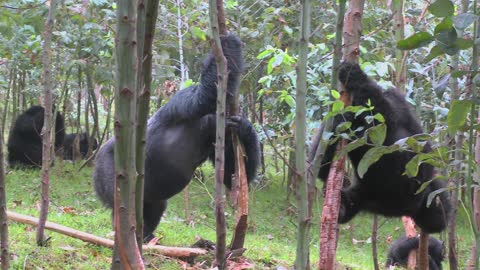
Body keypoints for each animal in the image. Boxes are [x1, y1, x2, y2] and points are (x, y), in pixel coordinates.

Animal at [92, 32, 260, 242]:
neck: (203, 127)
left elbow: (232, 175)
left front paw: (245, 128)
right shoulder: (185, 99)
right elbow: (206, 94)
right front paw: (228, 41)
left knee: (155, 205)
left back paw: (145, 236)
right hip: (106, 168)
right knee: (122, 203)